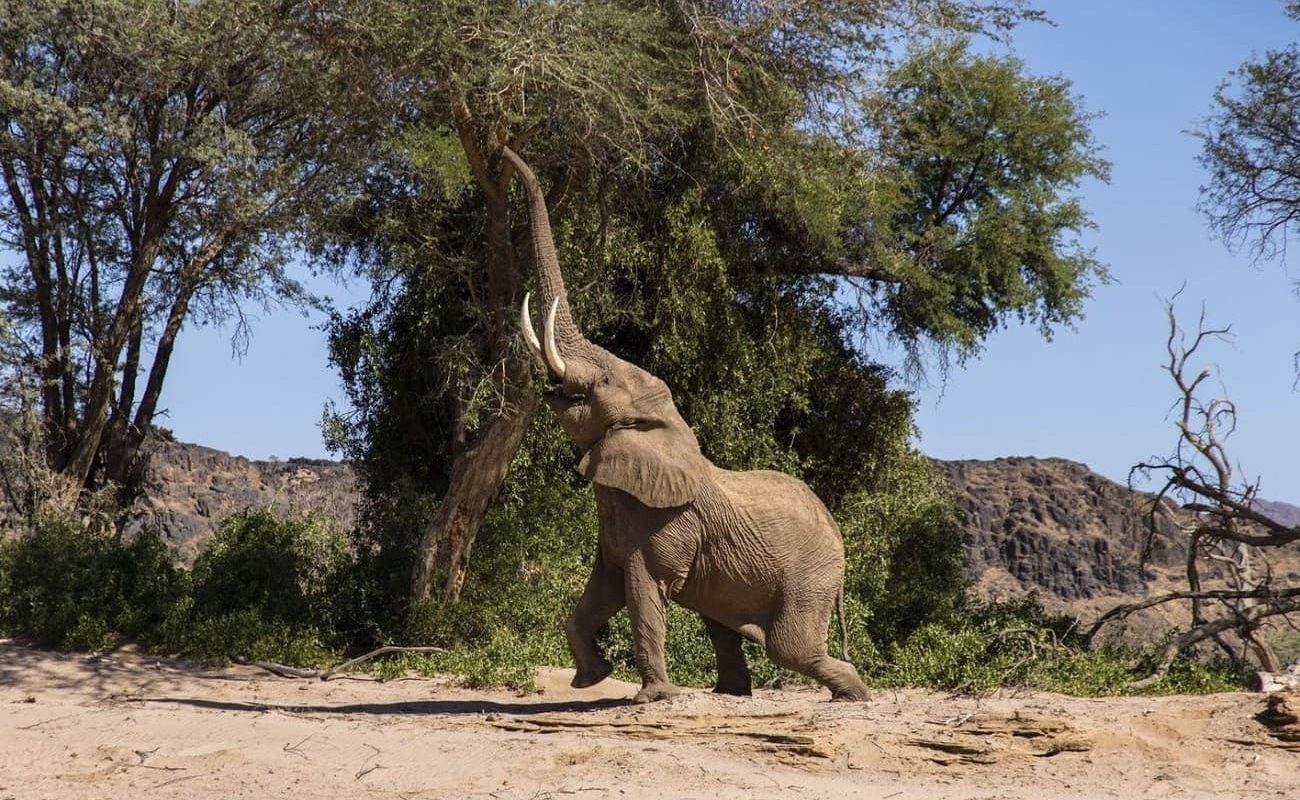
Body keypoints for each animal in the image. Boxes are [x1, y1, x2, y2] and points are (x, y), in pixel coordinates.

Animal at [502, 146, 869, 704]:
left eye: (602, 381)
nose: (504, 151)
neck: (666, 427)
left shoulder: (666, 520)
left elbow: (641, 589)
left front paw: (652, 698)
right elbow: (602, 589)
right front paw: (593, 679)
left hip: (810, 576)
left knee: (792, 648)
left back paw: (853, 698)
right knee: (728, 628)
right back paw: (731, 695)